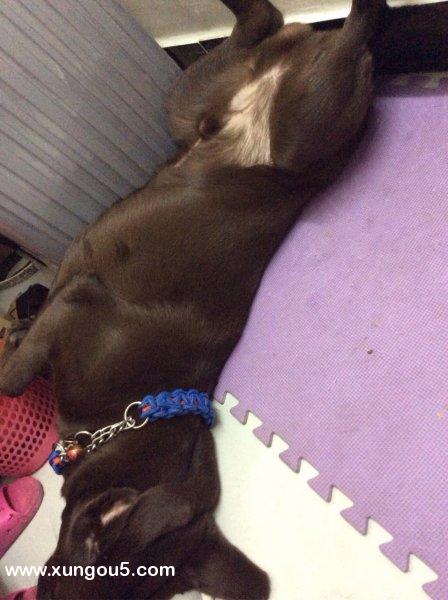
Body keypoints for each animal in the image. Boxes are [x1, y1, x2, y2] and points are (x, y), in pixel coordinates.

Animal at [1, 1, 447, 598]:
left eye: (49, 587)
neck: (134, 418)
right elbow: (23, 362)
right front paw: (20, 322)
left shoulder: (75, 307)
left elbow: (12, 377)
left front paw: (13, 342)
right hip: (190, 102)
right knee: (270, 20)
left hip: (300, 130)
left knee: (343, 27)